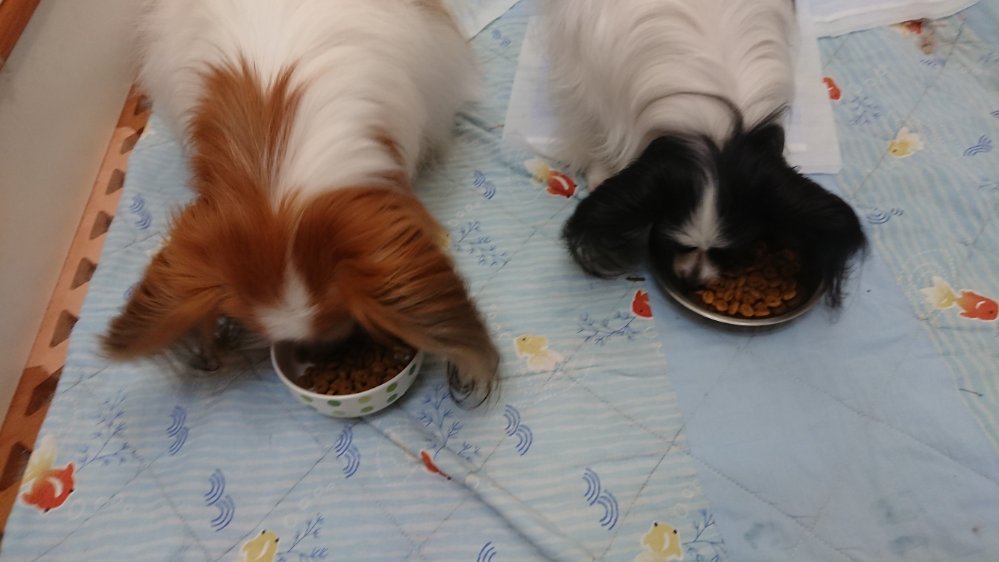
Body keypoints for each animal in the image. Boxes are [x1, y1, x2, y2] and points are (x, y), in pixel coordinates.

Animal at [541, 0, 866, 306]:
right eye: (677, 243)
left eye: (730, 252)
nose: (692, 279)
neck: (718, 127)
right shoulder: (586, 75)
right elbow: (589, 124)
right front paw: (599, 170)